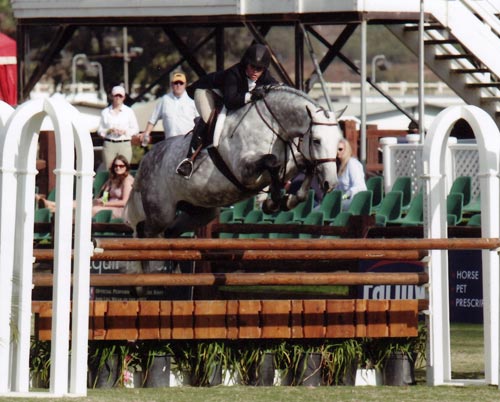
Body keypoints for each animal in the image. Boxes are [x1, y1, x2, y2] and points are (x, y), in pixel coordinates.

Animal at [125, 85, 344, 247]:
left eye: (338, 141)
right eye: (316, 141)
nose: (331, 184)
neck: (273, 126)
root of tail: (145, 161)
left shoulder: (291, 162)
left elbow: (306, 164)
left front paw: (289, 199)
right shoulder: (244, 171)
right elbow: (272, 161)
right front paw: (273, 200)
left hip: (200, 211)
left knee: (170, 232)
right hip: (161, 212)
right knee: (146, 232)